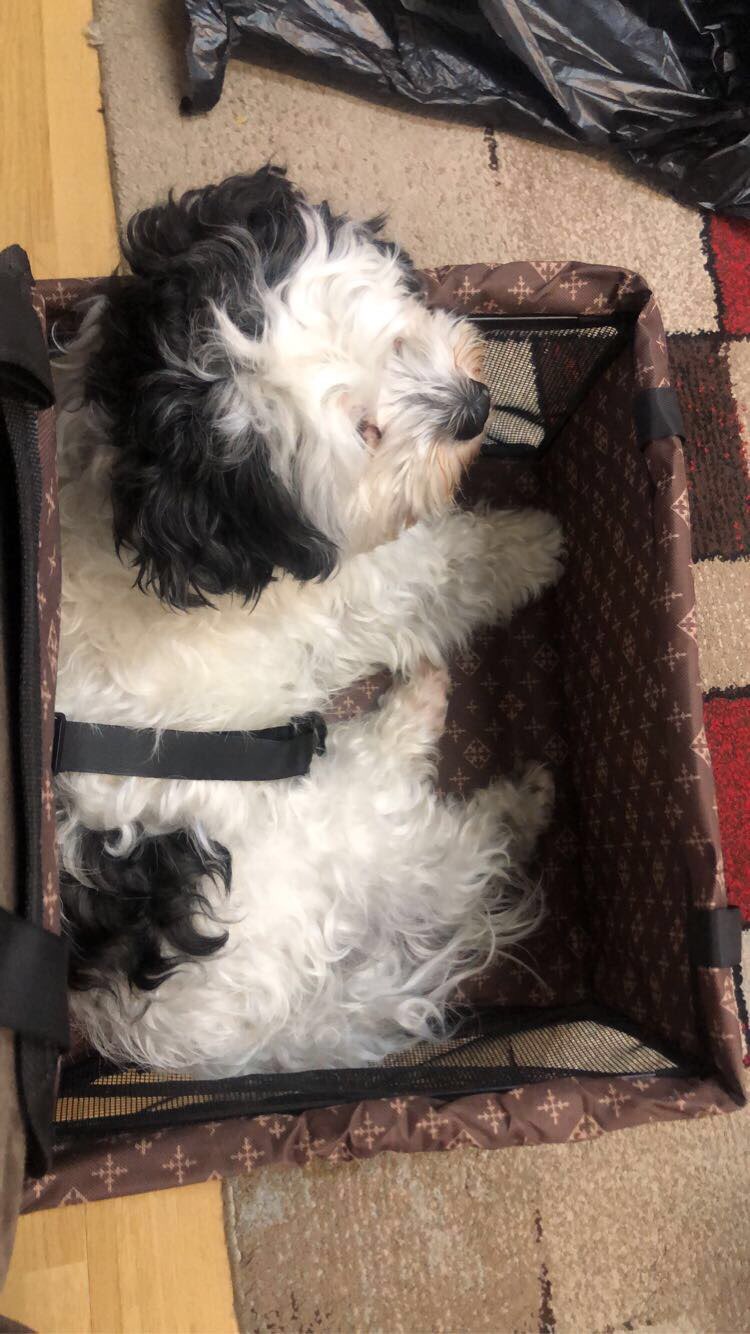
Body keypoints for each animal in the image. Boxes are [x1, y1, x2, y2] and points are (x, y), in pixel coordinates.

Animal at [54, 167, 564, 1077]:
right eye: (367, 429)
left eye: (398, 342)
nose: (474, 408)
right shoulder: (359, 586)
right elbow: (452, 566)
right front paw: (539, 544)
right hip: (330, 823)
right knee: (449, 847)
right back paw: (503, 783)